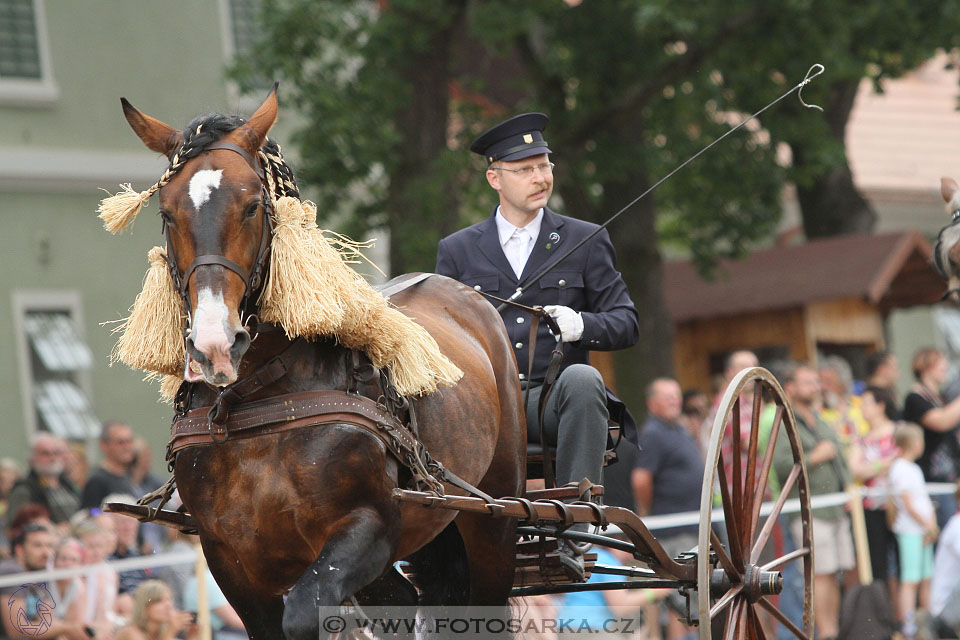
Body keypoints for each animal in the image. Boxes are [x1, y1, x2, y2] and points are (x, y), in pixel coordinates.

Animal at [119, 89, 528, 636]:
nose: (214, 342)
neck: (260, 399)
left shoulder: (369, 526)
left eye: (253, 206)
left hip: (494, 515)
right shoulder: (229, 557)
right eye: (166, 213)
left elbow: (304, 615)